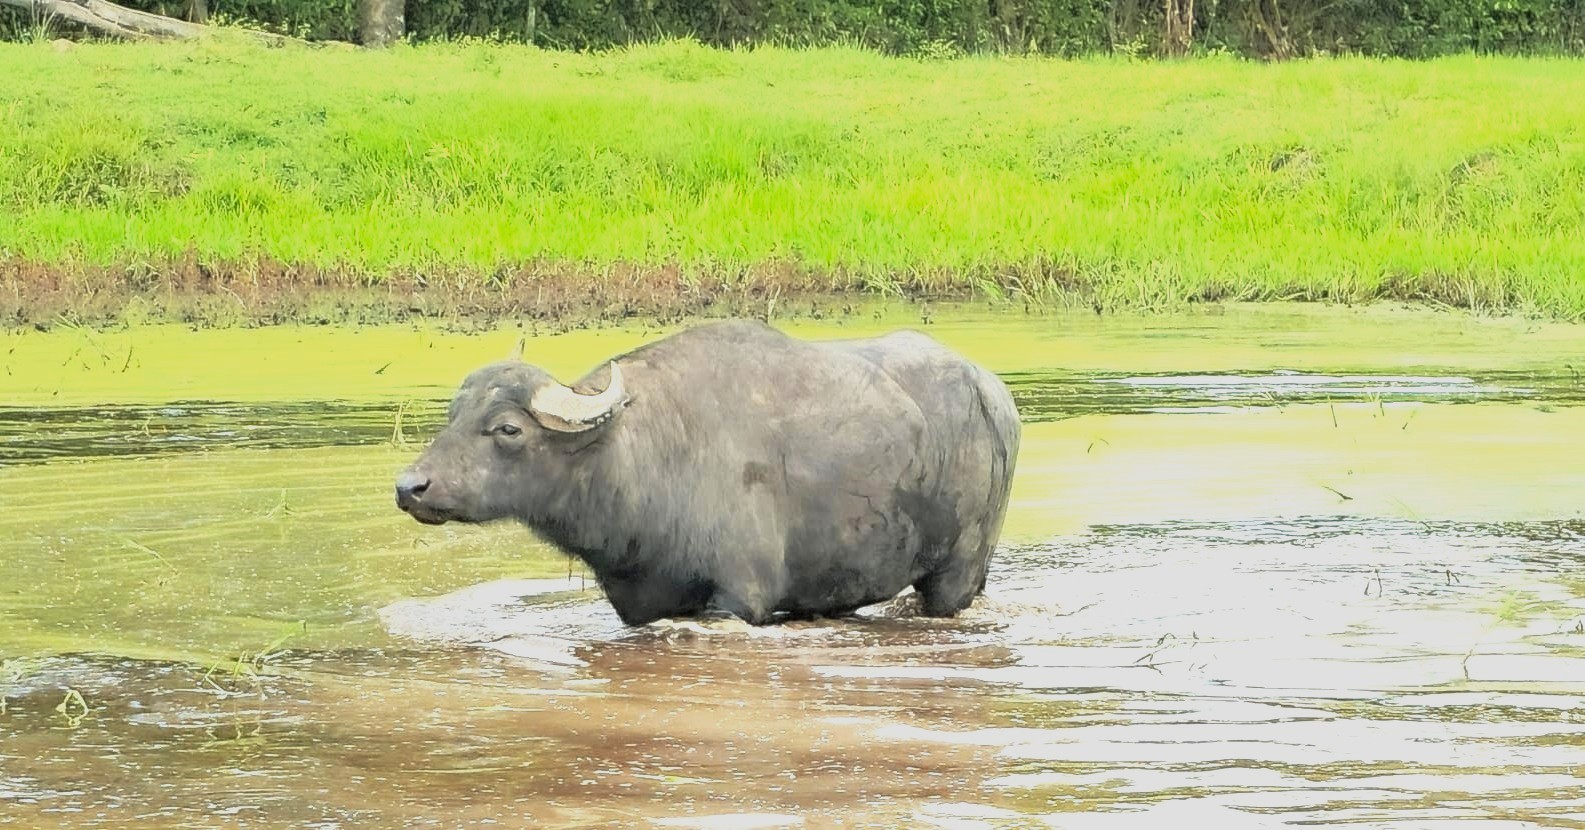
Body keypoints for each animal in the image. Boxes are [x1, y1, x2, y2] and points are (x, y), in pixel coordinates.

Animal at [395, 319, 1020, 626]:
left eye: (507, 429)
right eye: (453, 416)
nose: (409, 487)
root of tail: (992, 393)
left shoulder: (737, 600)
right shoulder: (639, 606)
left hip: (959, 572)